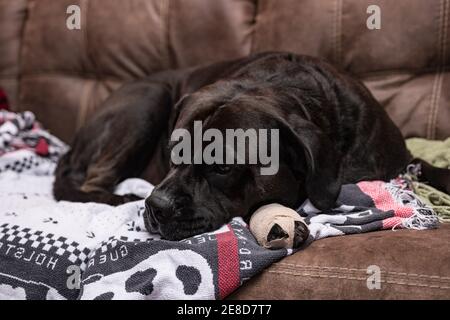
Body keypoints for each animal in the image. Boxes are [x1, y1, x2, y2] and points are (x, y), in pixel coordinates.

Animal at [53, 52, 450, 240]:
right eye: (172, 150)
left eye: (222, 166)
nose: (156, 206)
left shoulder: (399, 160)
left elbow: (430, 169)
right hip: (148, 100)